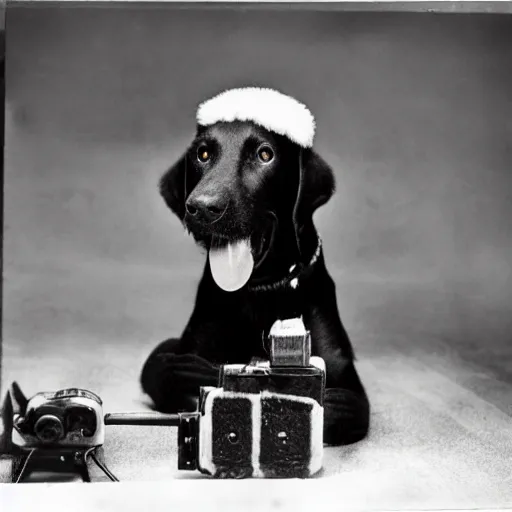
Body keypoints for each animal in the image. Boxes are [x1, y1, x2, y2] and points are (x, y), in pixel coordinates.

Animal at [141, 89, 368, 448]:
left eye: (265, 154)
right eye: (203, 154)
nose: (202, 207)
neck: (260, 291)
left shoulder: (351, 390)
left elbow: (334, 408)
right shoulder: (185, 354)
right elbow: (173, 375)